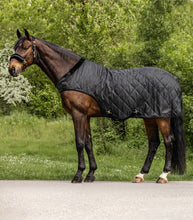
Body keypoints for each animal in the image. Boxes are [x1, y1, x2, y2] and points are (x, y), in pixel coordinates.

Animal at [8, 29, 185, 184]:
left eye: (25, 47)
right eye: (15, 47)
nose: (12, 69)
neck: (72, 73)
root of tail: (173, 80)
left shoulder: (78, 114)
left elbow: (79, 142)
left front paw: (78, 175)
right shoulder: (85, 116)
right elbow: (89, 143)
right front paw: (91, 174)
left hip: (162, 117)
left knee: (169, 141)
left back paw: (163, 176)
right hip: (149, 117)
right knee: (153, 143)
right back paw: (140, 175)